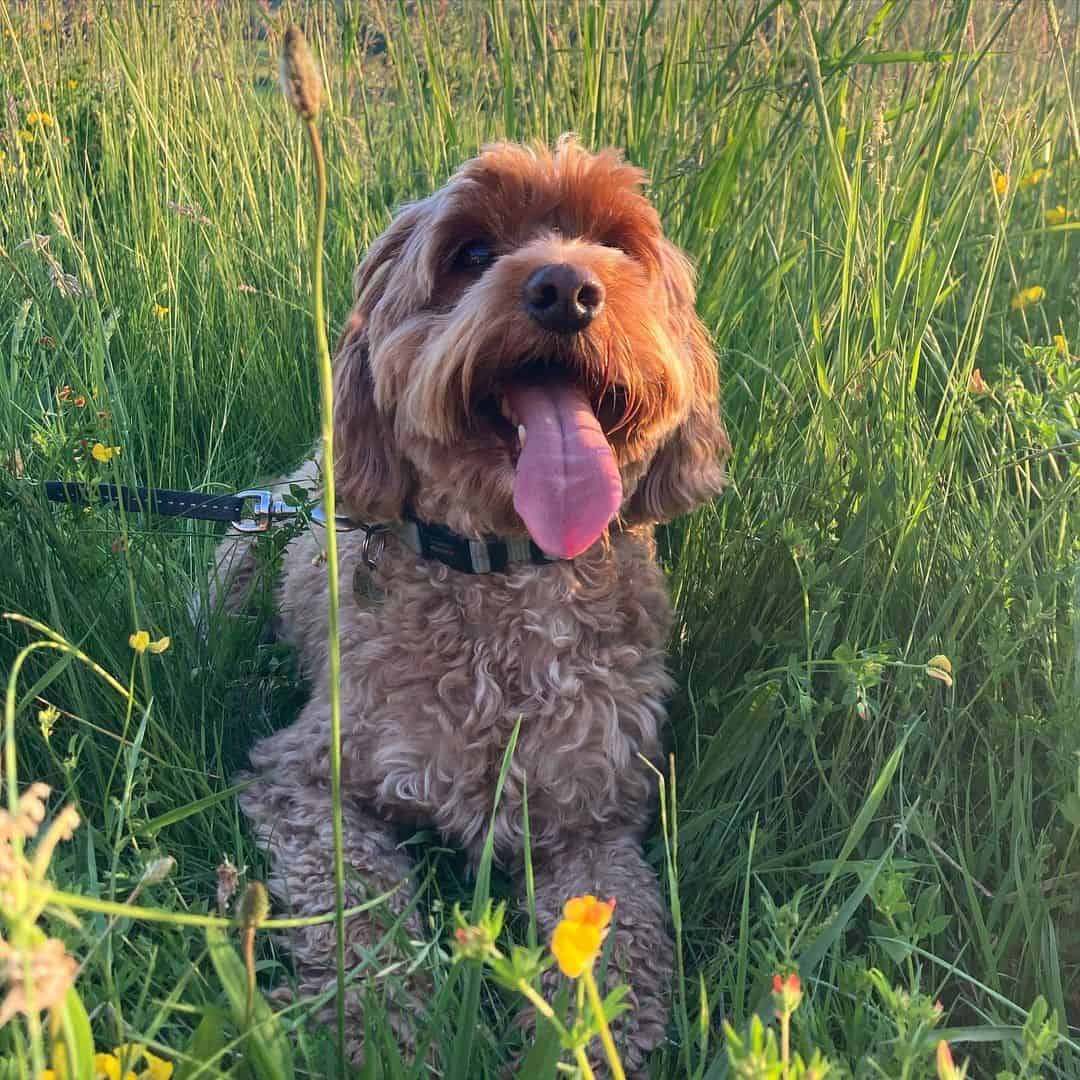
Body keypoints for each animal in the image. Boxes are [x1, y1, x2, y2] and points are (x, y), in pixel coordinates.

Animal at [214, 137, 730, 1071]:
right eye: (472, 252)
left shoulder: (595, 821)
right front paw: (385, 1028)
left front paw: (583, 1043)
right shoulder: (303, 779)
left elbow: (621, 945)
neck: (502, 571)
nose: (565, 289)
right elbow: (362, 908)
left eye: (617, 243)